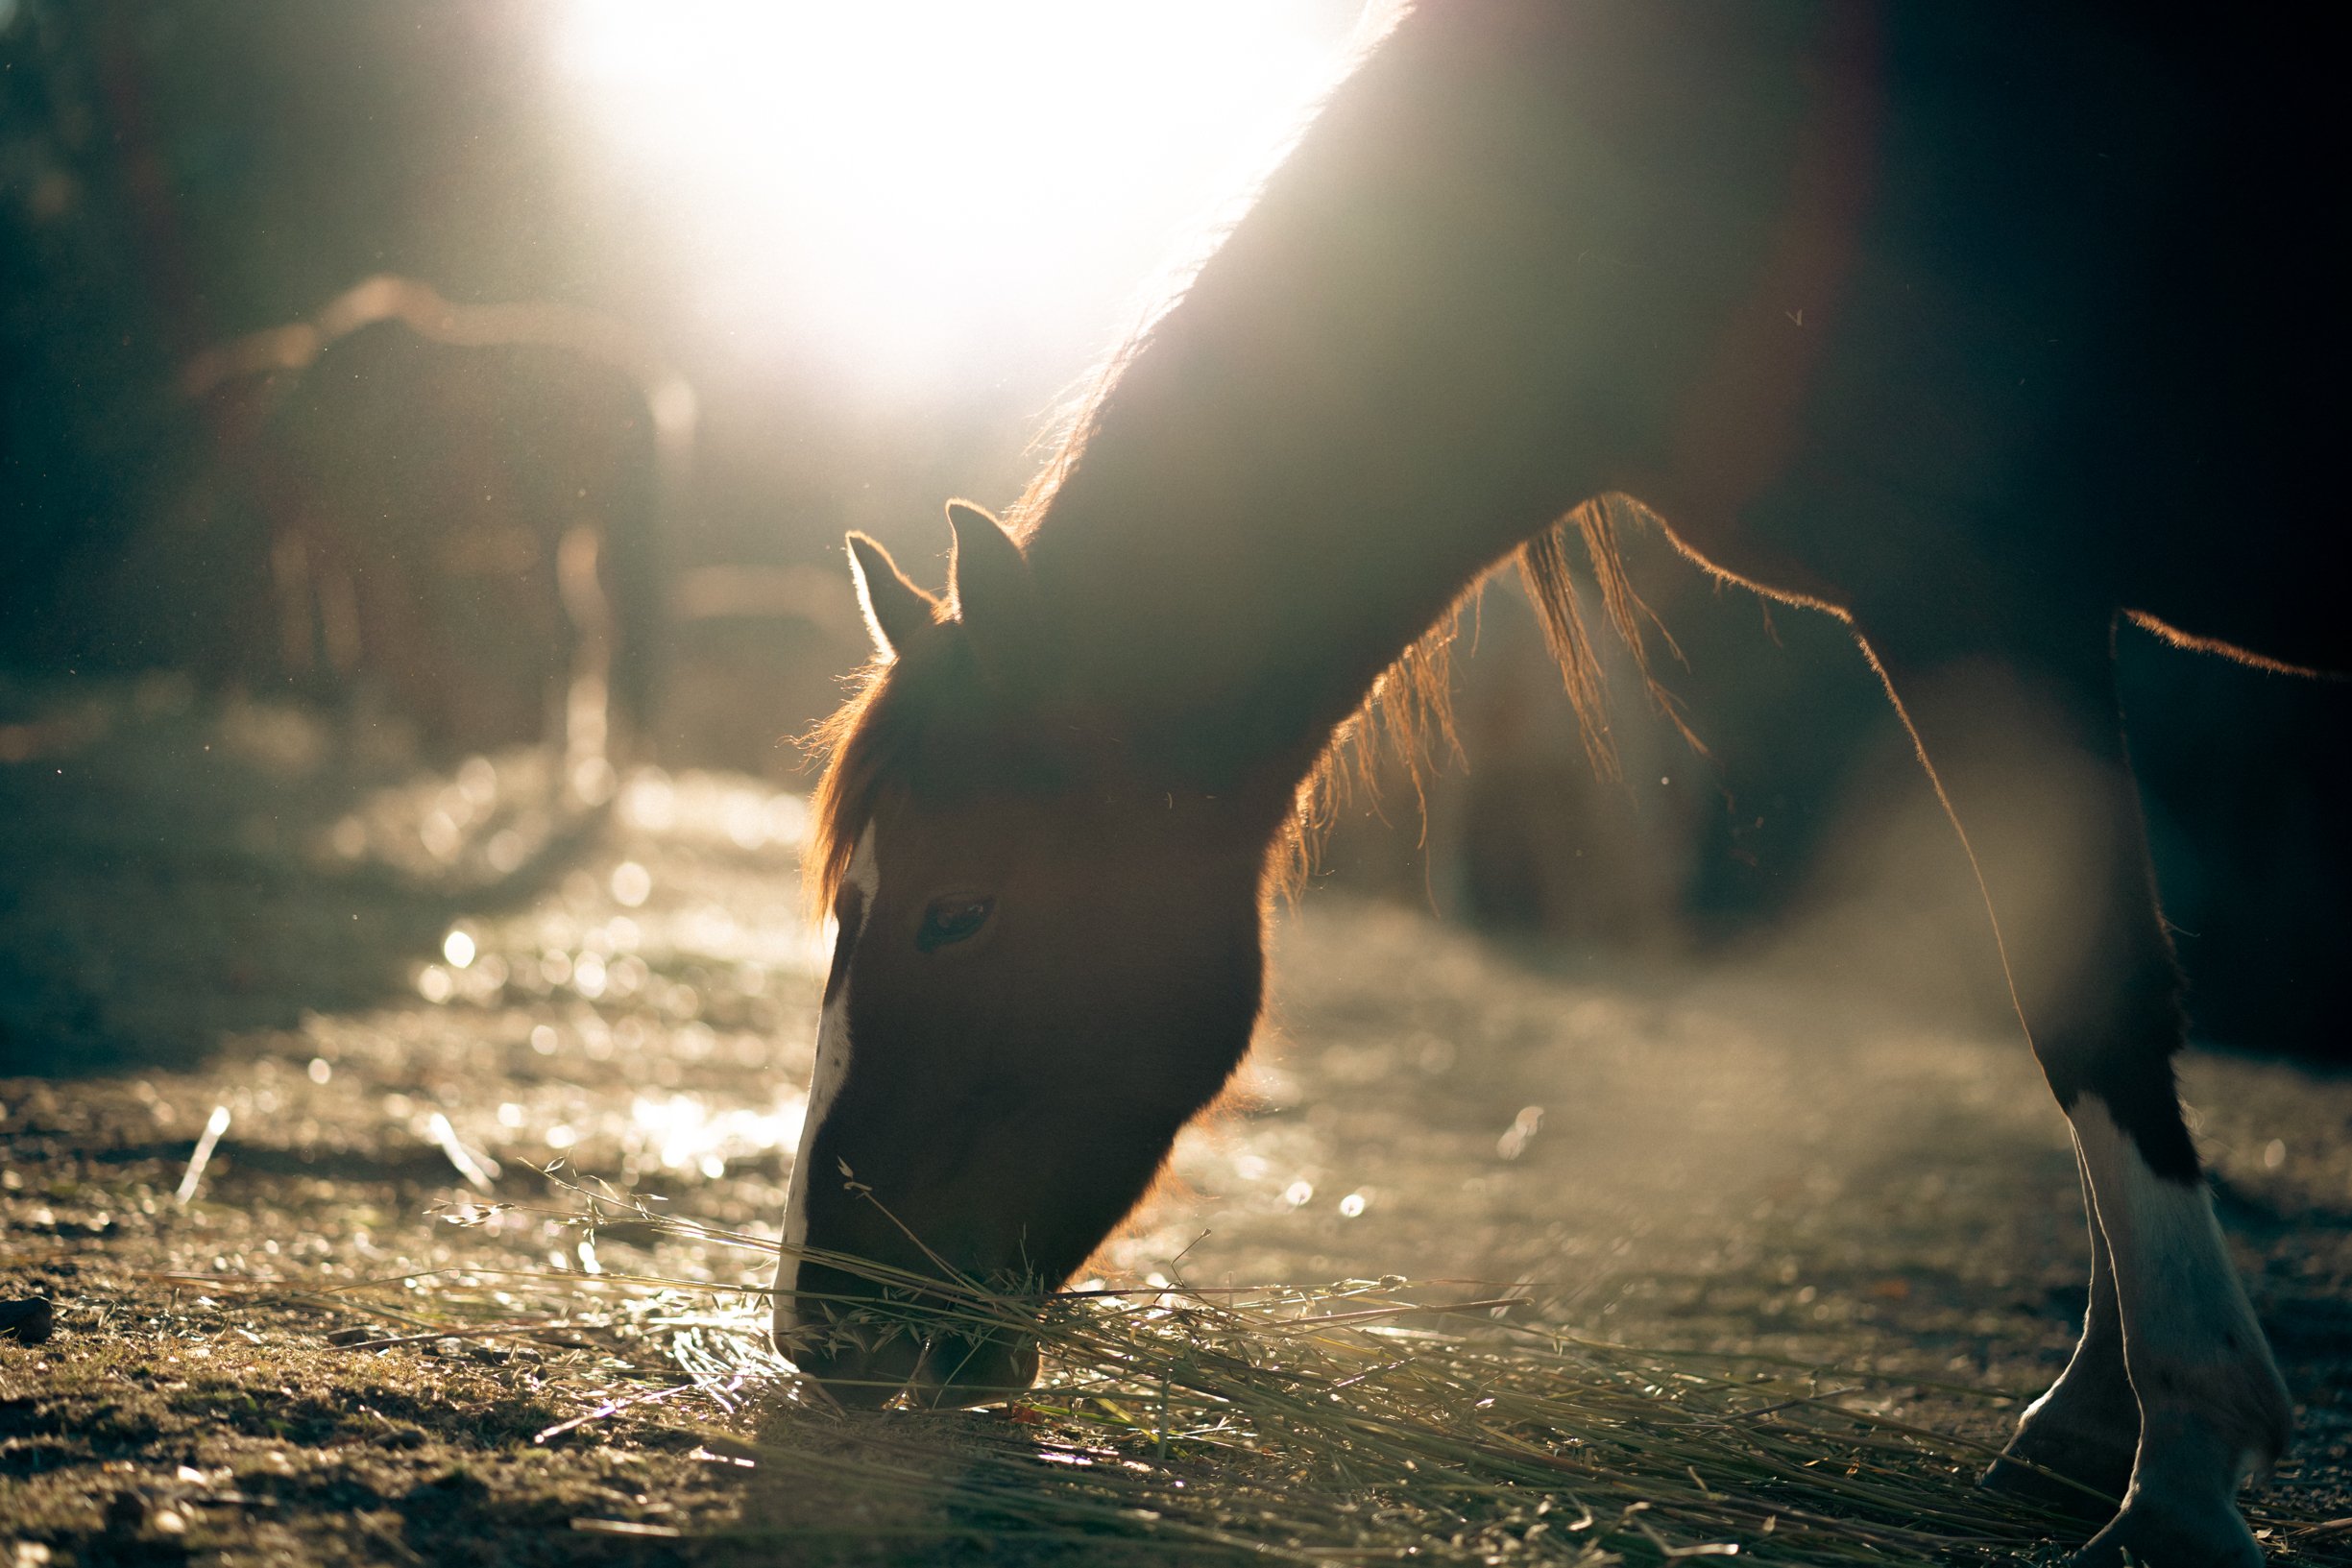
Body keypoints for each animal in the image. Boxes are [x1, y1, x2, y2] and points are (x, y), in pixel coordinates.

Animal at [768, 5, 2340, 1563]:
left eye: (960, 912)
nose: (817, 1332)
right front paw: (2088, 1425)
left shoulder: (1976, 592)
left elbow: (2084, 995)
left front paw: (2177, 1469)